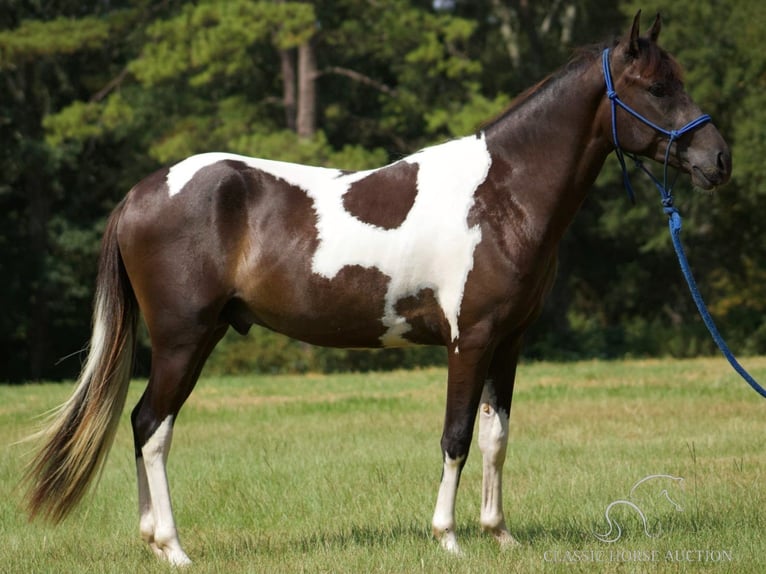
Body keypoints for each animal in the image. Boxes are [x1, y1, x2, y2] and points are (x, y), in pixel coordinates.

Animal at [24, 12, 732, 568]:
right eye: (657, 86)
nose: (718, 160)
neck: (501, 196)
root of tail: (142, 192)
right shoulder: (469, 341)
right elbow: (456, 436)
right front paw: (448, 538)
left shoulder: (508, 343)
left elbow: (496, 437)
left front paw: (500, 535)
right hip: (183, 338)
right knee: (152, 426)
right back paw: (173, 547)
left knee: (144, 426)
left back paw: (152, 541)